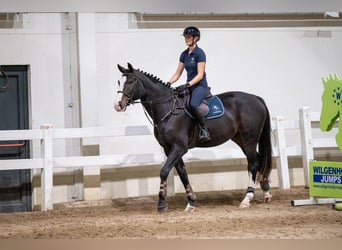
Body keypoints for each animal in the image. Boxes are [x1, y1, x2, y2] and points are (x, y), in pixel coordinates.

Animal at [115, 63, 272, 212]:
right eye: (119, 81)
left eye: (131, 81)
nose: (117, 105)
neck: (168, 108)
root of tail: (256, 98)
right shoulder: (169, 148)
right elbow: (182, 173)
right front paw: (191, 202)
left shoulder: (179, 147)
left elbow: (164, 171)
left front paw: (161, 203)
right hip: (240, 139)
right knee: (258, 159)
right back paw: (266, 192)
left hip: (249, 140)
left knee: (253, 164)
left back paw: (247, 198)